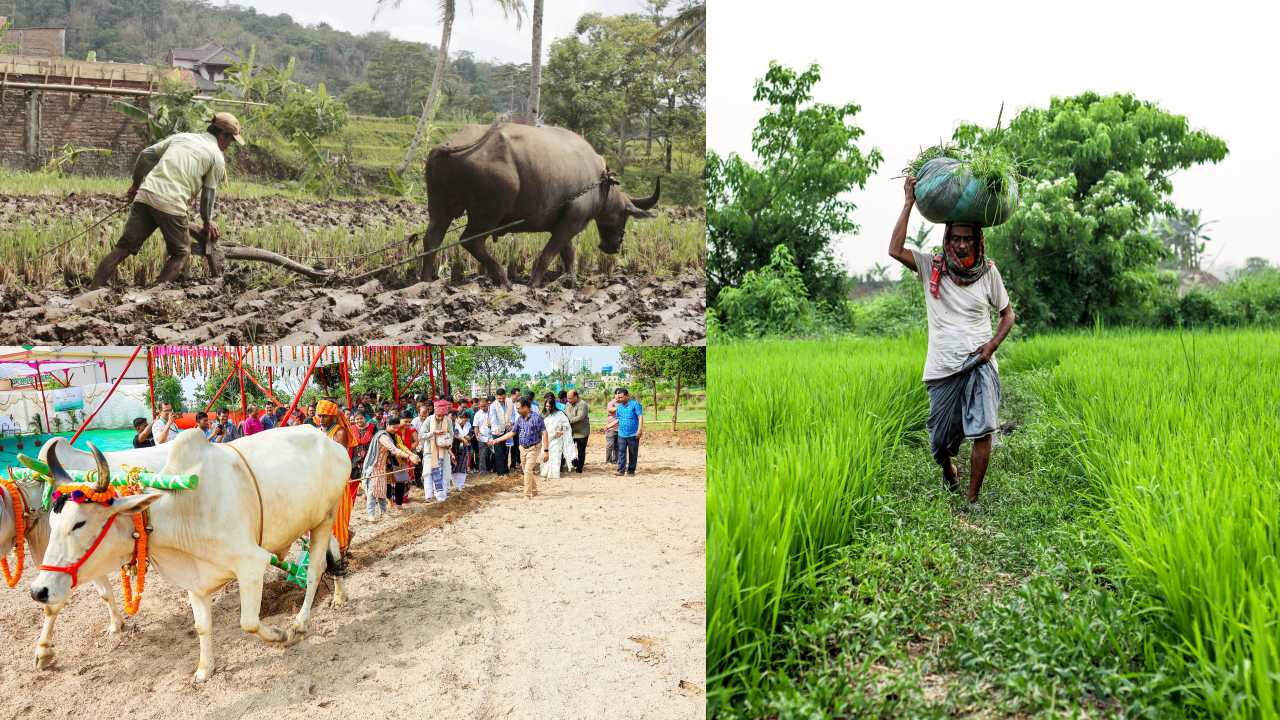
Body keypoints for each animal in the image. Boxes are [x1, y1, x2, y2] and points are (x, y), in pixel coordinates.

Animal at [422, 121, 660, 286]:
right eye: (624, 215)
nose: (612, 246)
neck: (599, 182)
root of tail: (448, 146)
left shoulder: (564, 223)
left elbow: (568, 254)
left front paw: (571, 280)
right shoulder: (572, 222)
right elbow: (547, 255)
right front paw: (534, 285)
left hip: (440, 208)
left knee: (431, 239)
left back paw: (425, 280)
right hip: (488, 213)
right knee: (471, 241)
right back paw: (503, 280)